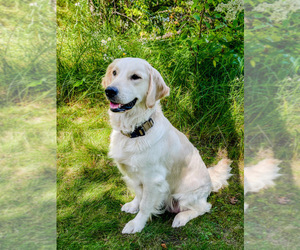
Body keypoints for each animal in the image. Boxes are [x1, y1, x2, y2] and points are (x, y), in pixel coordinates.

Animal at [102, 57, 232, 233]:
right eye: (115, 72)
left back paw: (181, 218)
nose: (109, 91)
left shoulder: (153, 179)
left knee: (204, 207)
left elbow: (145, 205)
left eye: (135, 77)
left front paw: (137, 224)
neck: (135, 131)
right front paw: (133, 205)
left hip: (185, 195)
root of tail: (210, 182)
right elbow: (138, 194)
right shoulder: (133, 174)